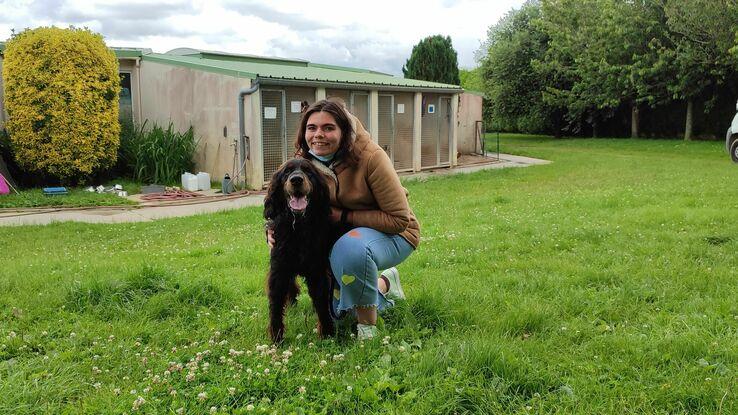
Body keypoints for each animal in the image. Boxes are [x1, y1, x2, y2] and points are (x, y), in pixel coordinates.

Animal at [264, 159, 334, 344]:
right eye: (287, 173)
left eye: (308, 172)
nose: (296, 180)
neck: (298, 227)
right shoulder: (279, 270)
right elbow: (275, 305)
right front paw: (277, 337)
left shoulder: (317, 271)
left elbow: (321, 302)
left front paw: (327, 333)